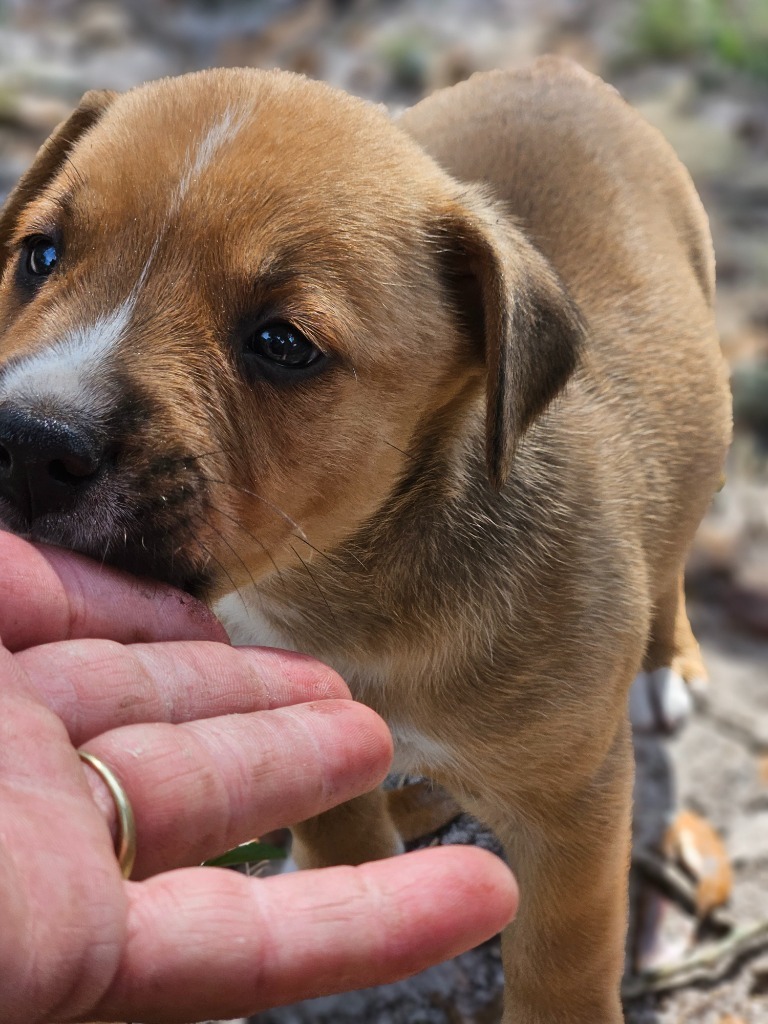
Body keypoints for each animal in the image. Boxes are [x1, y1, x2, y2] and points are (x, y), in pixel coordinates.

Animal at [0, 59, 733, 1019]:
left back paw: (662, 665)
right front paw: (349, 862)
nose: (27, 440)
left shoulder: (573, 804)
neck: (342, 587)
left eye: (282, 343)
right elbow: (336, 810)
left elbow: (564, 957)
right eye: (39, 256)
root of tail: (556, 68)